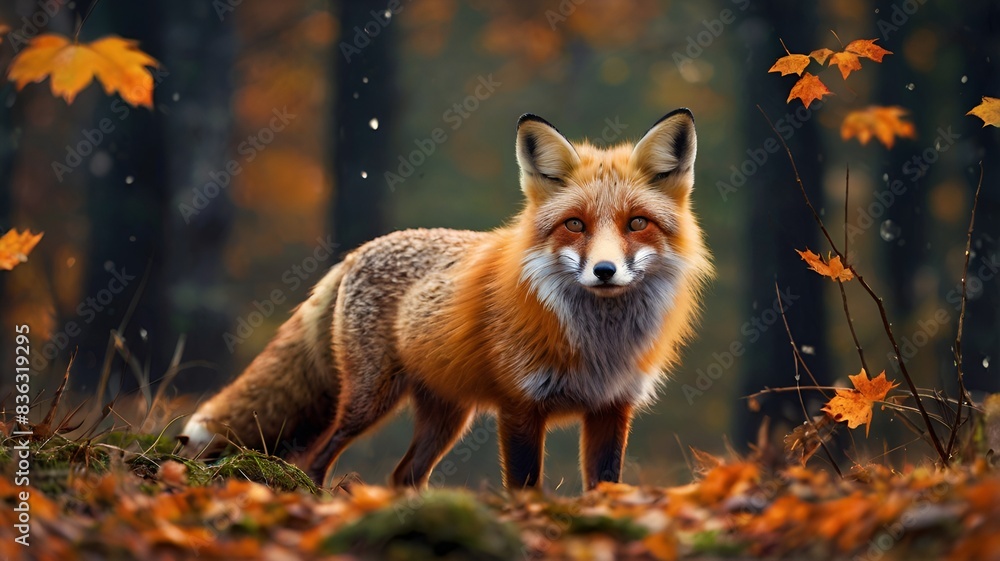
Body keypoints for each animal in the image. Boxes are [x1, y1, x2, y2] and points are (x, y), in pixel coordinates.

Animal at [179, 109, 713, 490]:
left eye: (637, 223)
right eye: (575, 224)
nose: (604, 271)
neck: (600, 343)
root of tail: (356, 252)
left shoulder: (612, 408)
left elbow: (604, 486)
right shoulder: (520, 406)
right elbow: (525, 487)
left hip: (447, 416)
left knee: (403, 475)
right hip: (369, 401)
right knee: (318, 456)